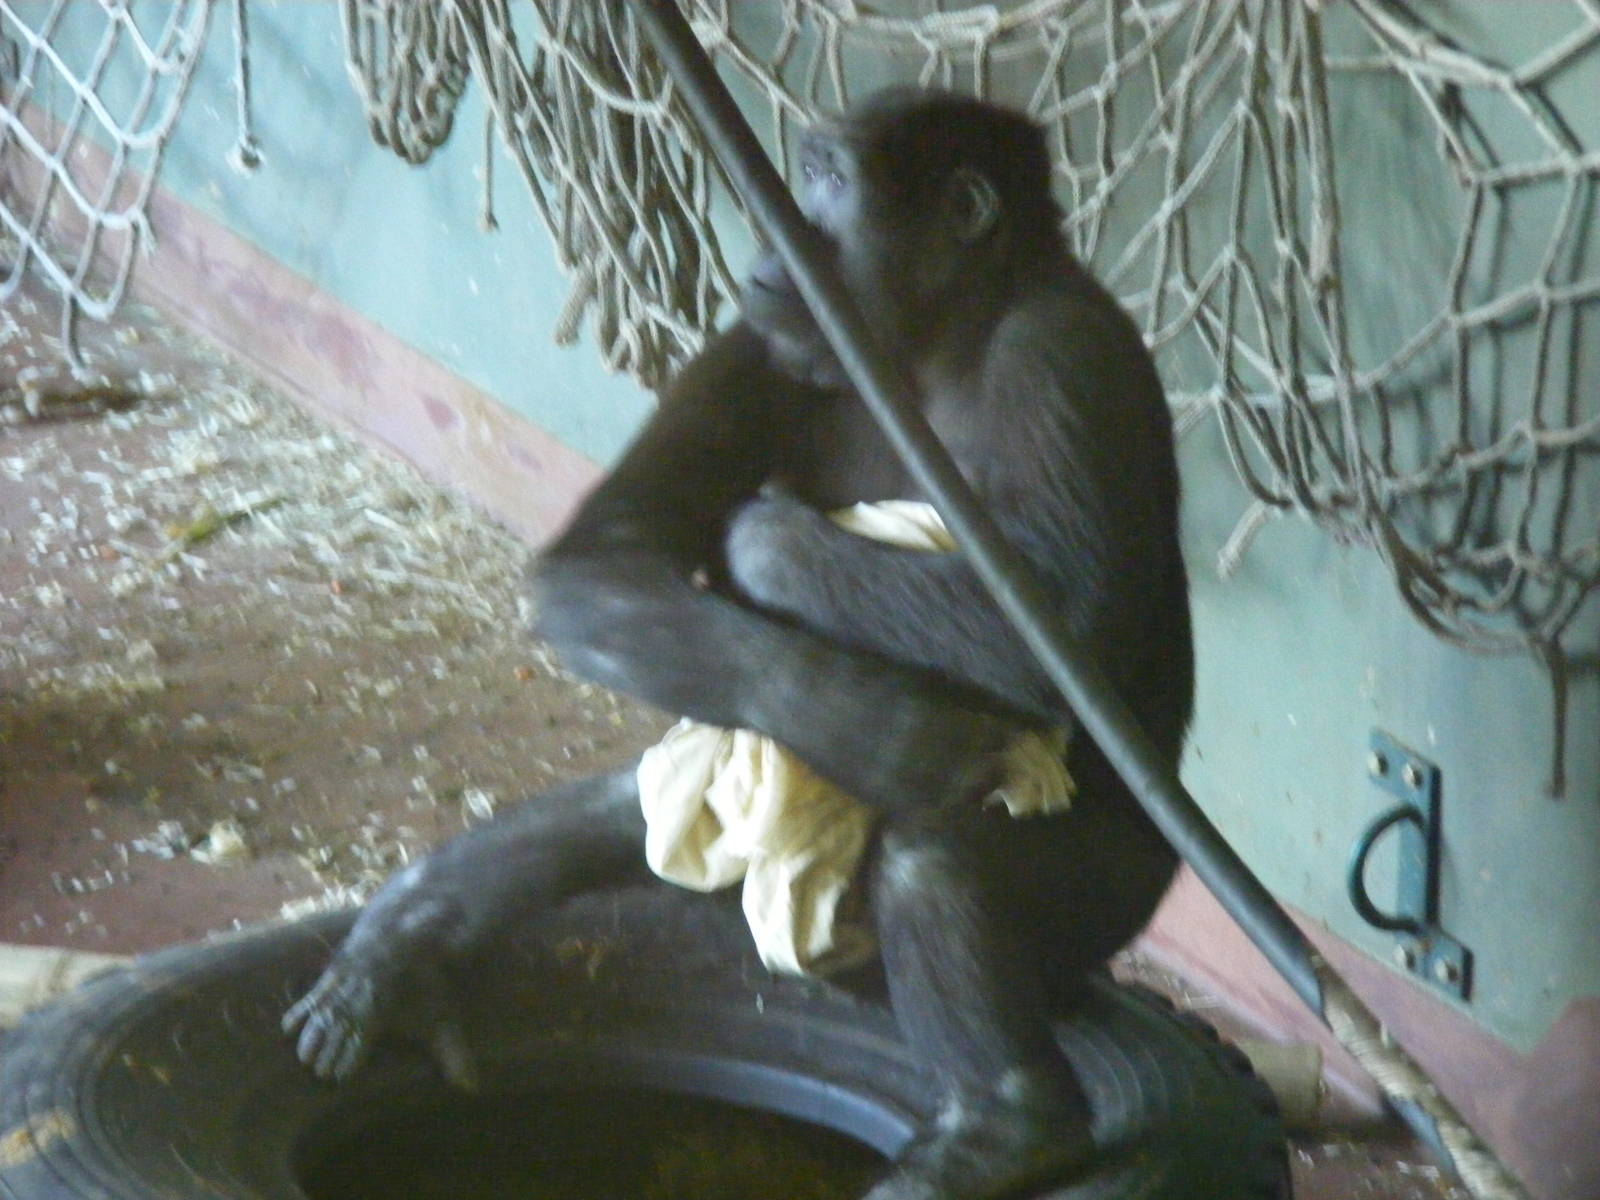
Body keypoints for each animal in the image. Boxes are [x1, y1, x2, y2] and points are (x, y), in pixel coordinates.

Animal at [285, 88, 1192, 1200]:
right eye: (804, 174)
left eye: (835, 182)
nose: (779, 234)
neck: (931, 347)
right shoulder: (754, 345)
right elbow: (604, 557)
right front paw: (879, 725)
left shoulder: (1063, 355)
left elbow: (1069, 614)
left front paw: (771, 551)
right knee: (637, 801)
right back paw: (421, 928)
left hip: (1111, 906)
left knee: (936, 858)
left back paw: (1008, 1126)